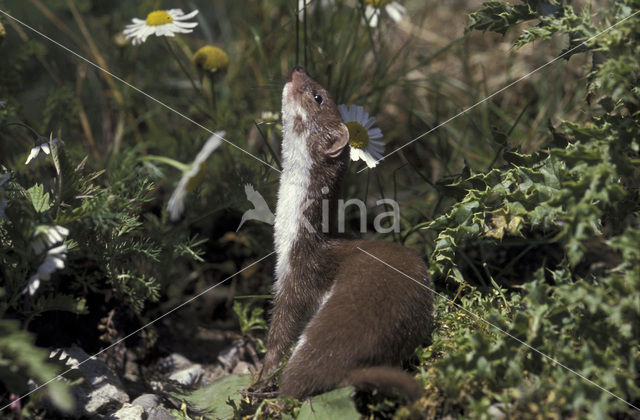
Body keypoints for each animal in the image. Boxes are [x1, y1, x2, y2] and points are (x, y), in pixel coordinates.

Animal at [260, 65, 436, 400]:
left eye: (318, 96)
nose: (297, 69)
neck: (288, 234)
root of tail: (350, 368)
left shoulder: (296, 273)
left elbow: (281, 329)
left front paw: (260, 373)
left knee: (295, 382)